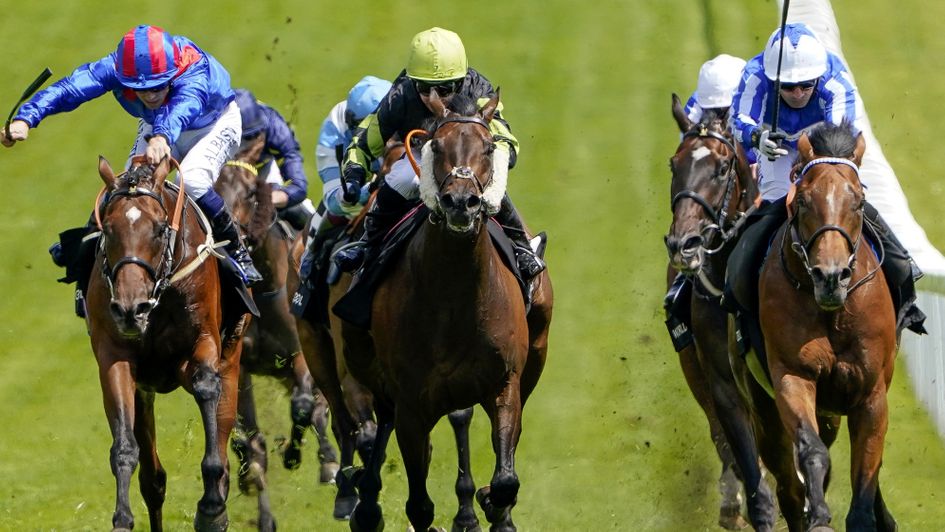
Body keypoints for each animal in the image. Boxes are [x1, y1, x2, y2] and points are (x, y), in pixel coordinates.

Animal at [87, 156, 251, 528]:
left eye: (160, 229)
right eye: (109, 229)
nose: (131, 308)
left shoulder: (202, 344)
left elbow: (205, 387)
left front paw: (211, 508)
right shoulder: (115, 359)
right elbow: (125, 447)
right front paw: (122, 518)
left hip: (231, 357)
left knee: (221, 425)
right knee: (153, 480)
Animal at [216, 136, 342, 528]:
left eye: (250, 192)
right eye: (213, 189)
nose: (232, 236)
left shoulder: (299, 352)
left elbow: (303, 406)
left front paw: (296, 455)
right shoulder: (240, 366)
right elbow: (250, 441)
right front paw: (260, 506)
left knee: (318, 404)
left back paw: (329, 462)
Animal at [342, 89, 552, 528]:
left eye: (489, 146)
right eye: (436, 145)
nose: (460, 202)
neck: (455, 298)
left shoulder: (504, 383)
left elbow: (506, 479)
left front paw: (493, 504)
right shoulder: (411, 402)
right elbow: (419, 505)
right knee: (383, 420)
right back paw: (366, 502)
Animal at [744, 121, 892, 532]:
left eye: (858, 202)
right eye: (804, 202)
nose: (830, 277)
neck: (833, 312)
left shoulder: (872, 392)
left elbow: (867, 470)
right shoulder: (792, 375)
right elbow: (811, 450)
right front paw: (820, 516)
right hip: (760, 403)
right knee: (785, 474)